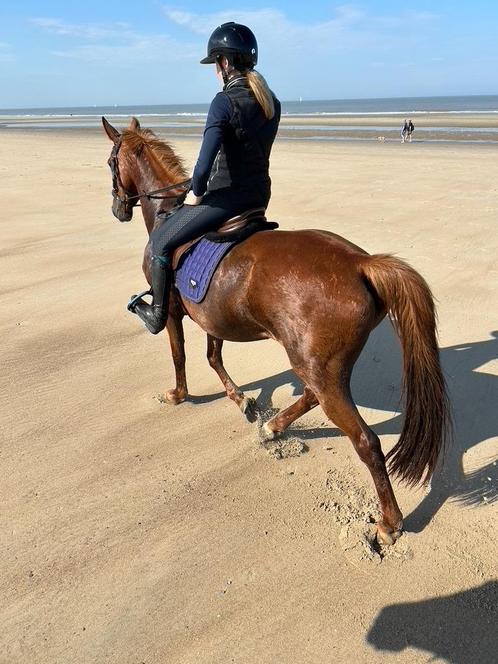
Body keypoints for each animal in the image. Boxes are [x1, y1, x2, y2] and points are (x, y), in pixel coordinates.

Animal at [102, 116, 452, 548]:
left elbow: (180, 355)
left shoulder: (171, 314)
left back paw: (389, 523)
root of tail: (361, 263)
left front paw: (179, 395)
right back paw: (272, 427)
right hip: (318, 365)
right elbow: (213, 357)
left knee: (366, 442)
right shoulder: (213, 318)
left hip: (318, 368)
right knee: (311, 395)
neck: (169, 214)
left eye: (110, 163)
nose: (117, 208)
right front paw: (243, 402)